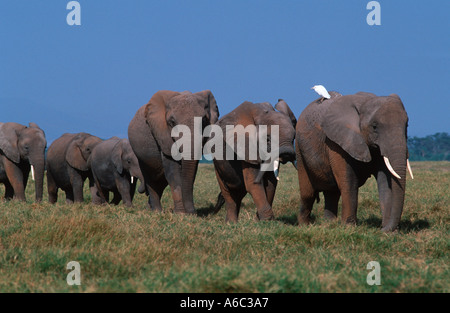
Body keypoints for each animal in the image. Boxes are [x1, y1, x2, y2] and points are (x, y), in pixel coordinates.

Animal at [296, 91, 414, 232]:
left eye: (407, 125)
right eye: (374, 127)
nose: (381, 229)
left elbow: (385, 182)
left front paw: (388, 231)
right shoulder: (336, 143)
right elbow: (349, 181)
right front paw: (349, 228)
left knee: (332, 193)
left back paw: (330, 224)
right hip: (300, 150)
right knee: (308, 194)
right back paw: (305, 225)